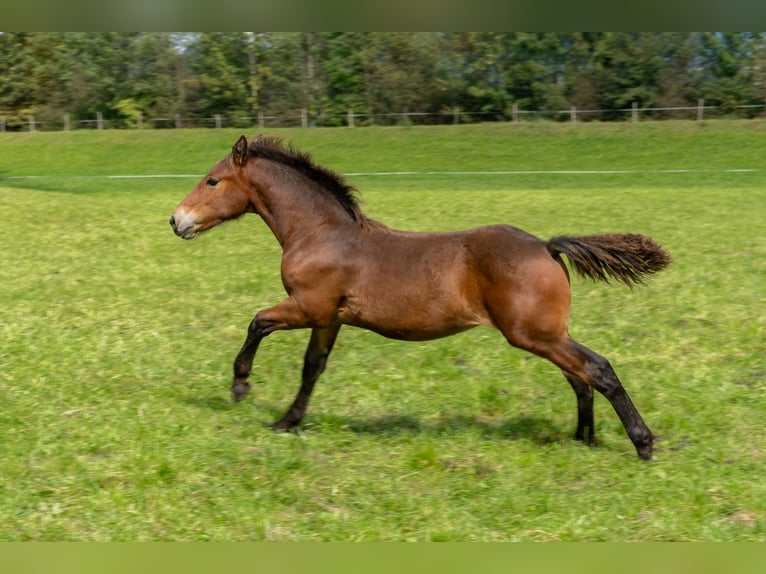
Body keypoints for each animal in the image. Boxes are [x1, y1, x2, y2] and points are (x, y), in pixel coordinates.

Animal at [170, 134, 672, 460]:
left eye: (212, 181)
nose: (177, 221)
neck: (320, 233)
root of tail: (547, 246)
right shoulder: (329, 318)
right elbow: (312, 368)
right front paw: (287, 422)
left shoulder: (308, 307)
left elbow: (257, 321)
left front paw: (240, 386)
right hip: (546, 333)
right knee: (579, 377)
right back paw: (582, 439)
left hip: (533, 334)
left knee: (597, 369)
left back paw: (642, 443)